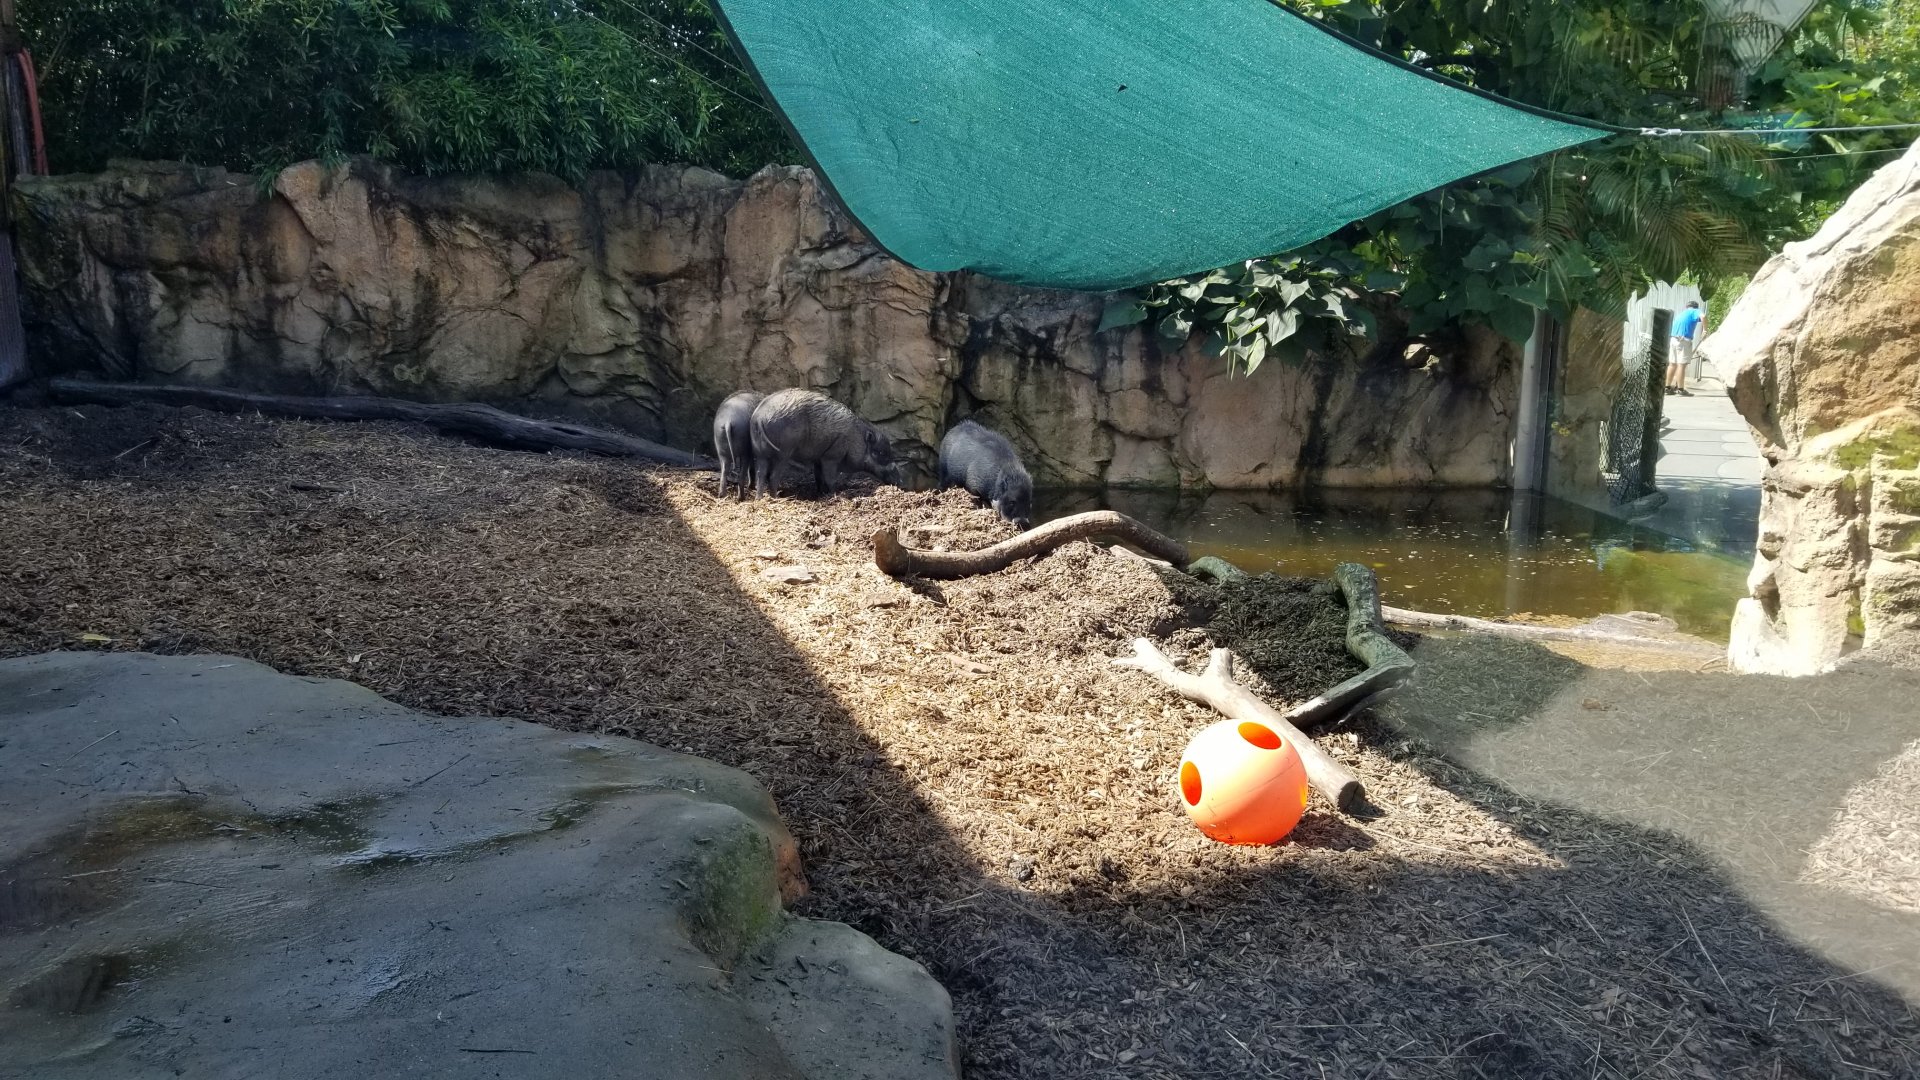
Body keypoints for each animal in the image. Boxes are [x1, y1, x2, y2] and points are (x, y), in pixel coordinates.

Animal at [750, 388, 899, 499]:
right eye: (880, 453)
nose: (898, 478)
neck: (855, 438)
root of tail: (760, 417)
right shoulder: (831, 456)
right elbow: (829, 478)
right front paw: (834, 494)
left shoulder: (818, 458)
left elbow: (819, 477)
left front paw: (821, 493)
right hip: (783, 453)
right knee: (772, 476)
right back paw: (775, 498)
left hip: (759, 452)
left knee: (760, 474)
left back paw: (759, 499)